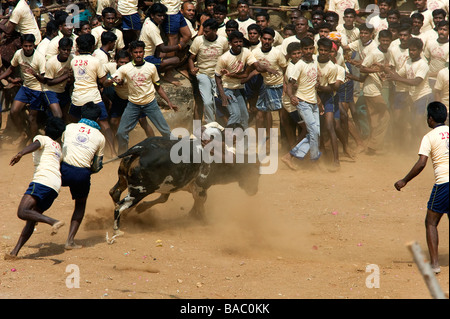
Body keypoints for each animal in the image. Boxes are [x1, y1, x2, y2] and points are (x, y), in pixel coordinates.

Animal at [107, 136, 260, 236]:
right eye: (253, 172)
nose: (254, 190)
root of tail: (140, 149)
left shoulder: (170, 185)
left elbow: (164, 198)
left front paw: (140, 208)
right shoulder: (201, 188)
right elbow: (200, 204)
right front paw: (204, 221)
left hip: (124, 181)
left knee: (114, 193)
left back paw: (125, 217)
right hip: (139, 191)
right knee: (119, 206)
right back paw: (117, 229)